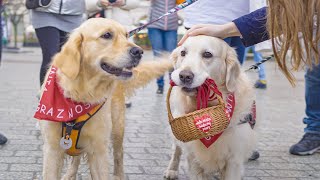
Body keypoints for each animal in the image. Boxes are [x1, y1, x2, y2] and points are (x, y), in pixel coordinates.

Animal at [38, 17, 172, 179]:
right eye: (107, 35)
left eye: (126, 35)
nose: (139, 51)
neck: (81, 95)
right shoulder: (52, 149)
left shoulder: (99, 149)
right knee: (76, 158)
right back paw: (70, 174)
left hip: (117, 129)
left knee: (119, 154)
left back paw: (119, 175)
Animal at [164, 35, 256, 179]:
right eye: (183, 53)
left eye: (207, 54)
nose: (184, 76)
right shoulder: (194, 159)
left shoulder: (234, 159)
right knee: (176, 150)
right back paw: (171, 170)